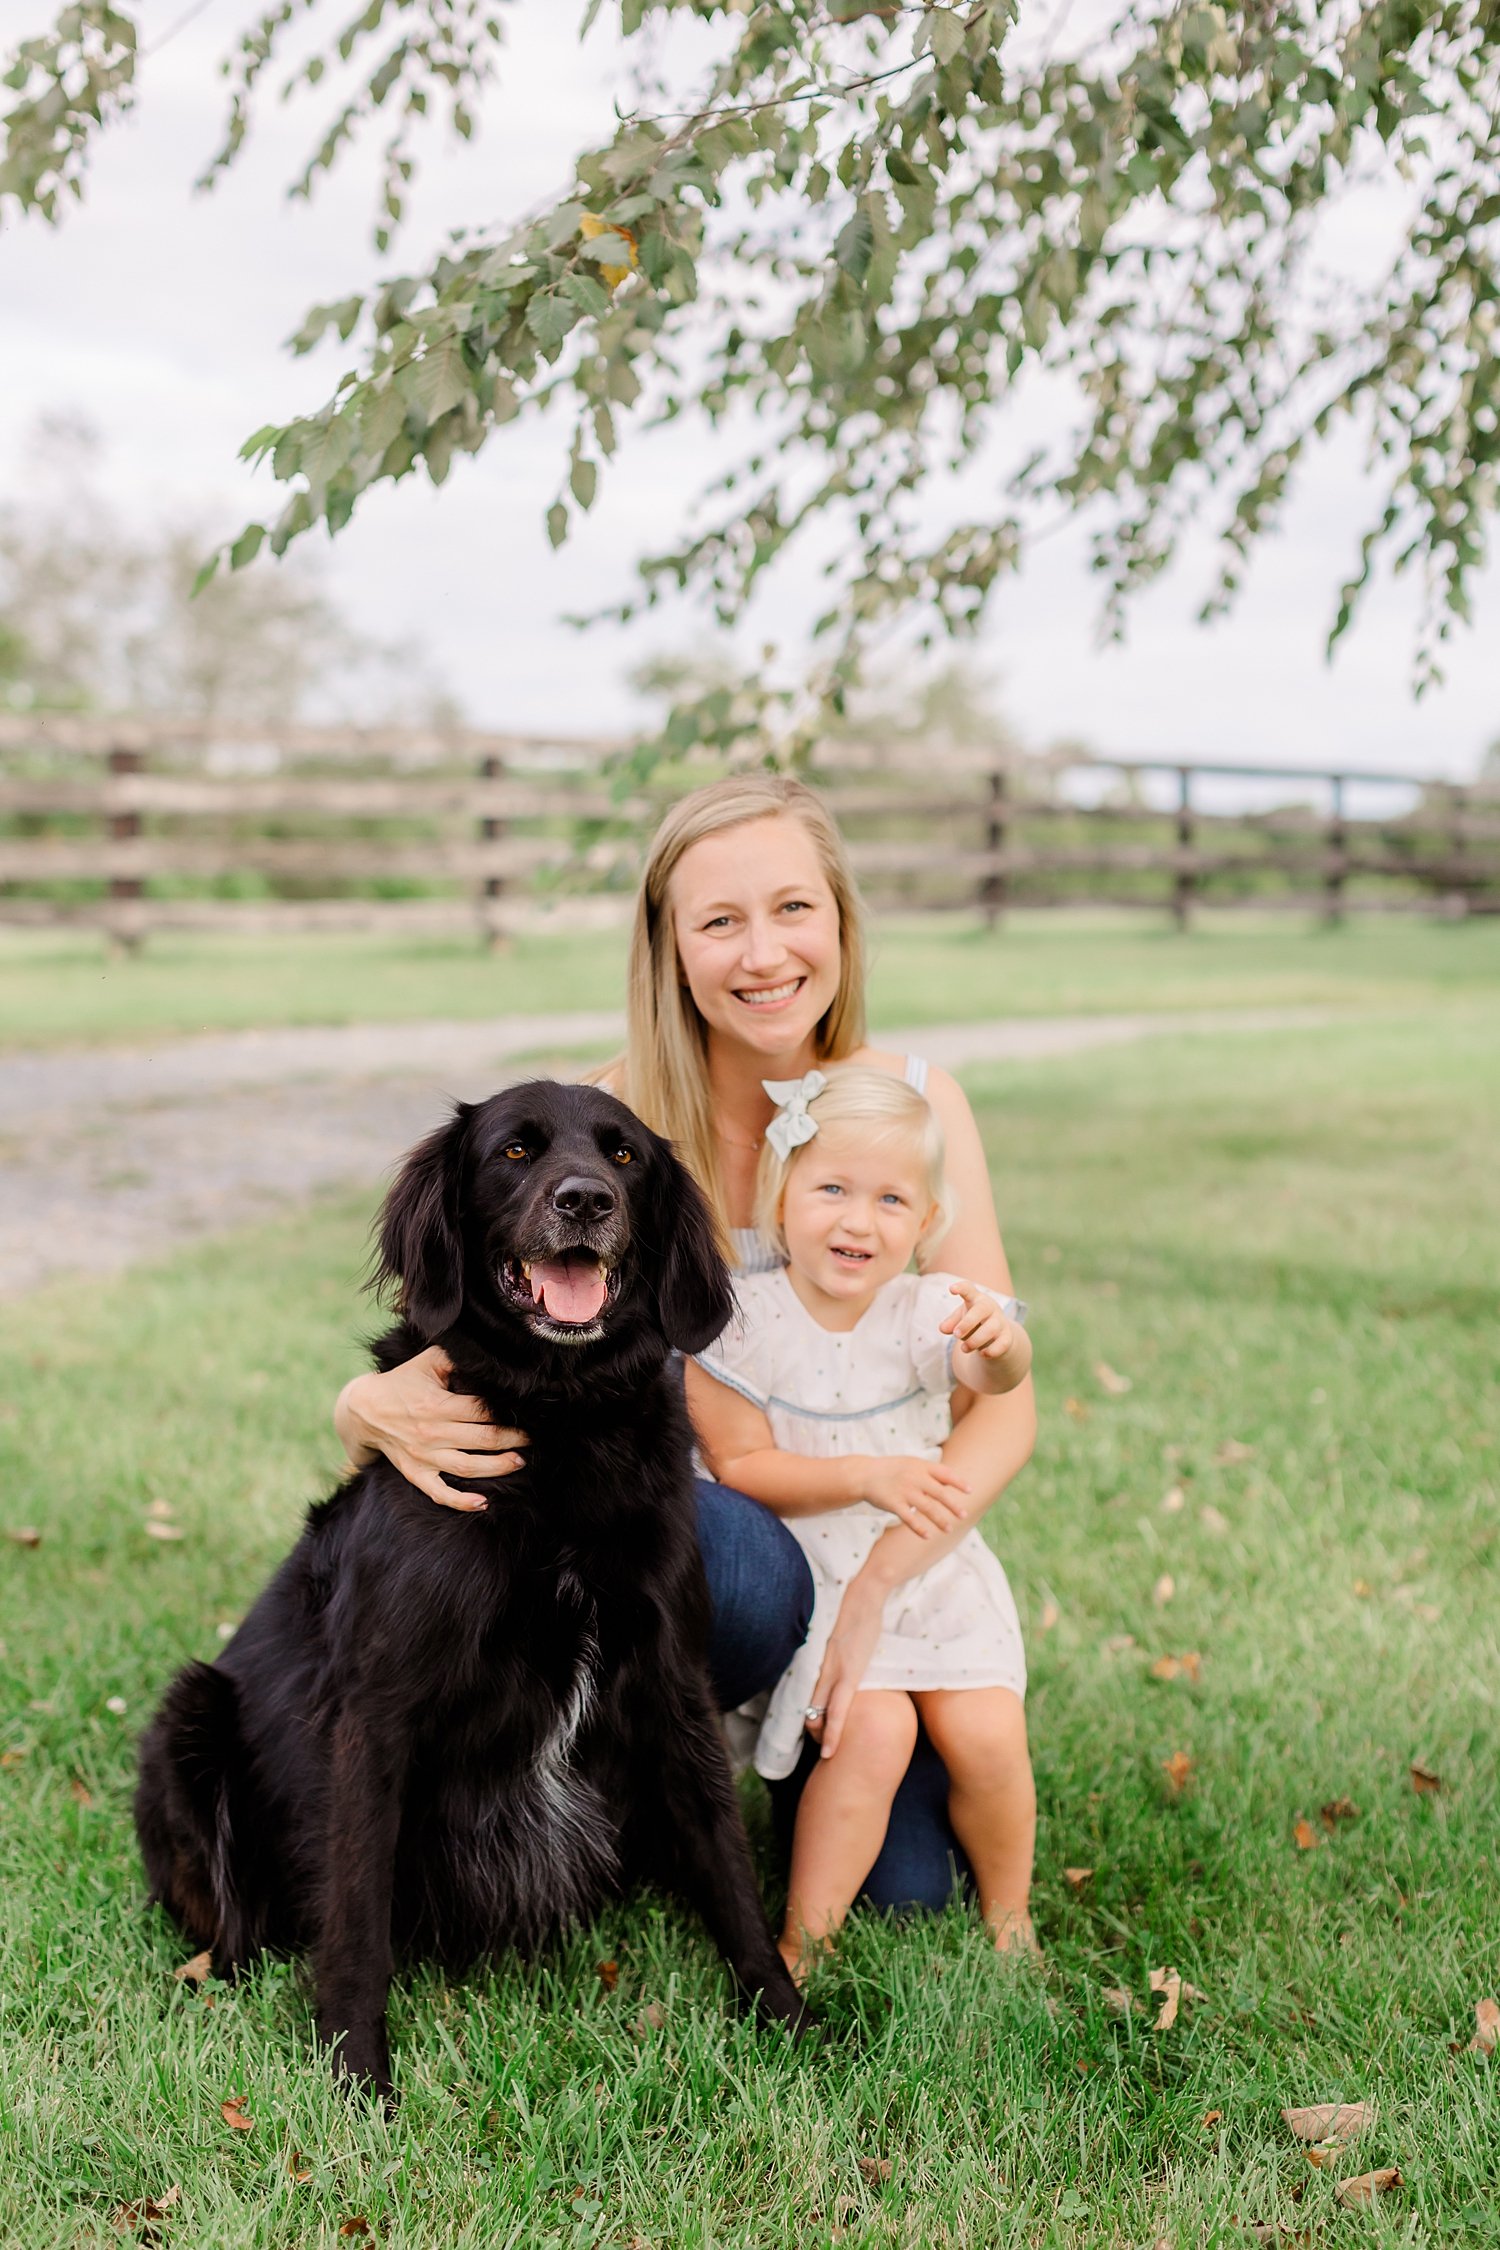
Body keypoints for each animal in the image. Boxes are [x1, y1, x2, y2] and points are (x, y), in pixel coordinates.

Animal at [134, 1075, 805, 2088]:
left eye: (623, 1155)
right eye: (514, 1152)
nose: (585, 1202)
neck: (561, 1424)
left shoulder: (673, 1684)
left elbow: (728, 1867)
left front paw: (789, 2017)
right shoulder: (376, 1712)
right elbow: (358, 1914)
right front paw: (356, 2074)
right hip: (191, 1711)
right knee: (236, 1928)